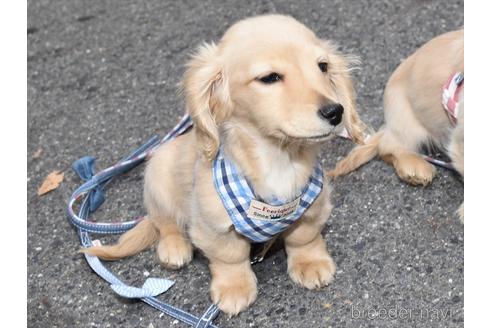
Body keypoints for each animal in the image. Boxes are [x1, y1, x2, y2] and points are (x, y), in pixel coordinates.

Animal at [83, 15, 366, 316]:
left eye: (322, 66)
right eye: (269, 77)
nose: (335, 112)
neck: (279, 158)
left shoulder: (314, 207)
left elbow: (304, 237)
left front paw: (310, 263)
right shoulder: (213, 227)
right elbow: (230, 257)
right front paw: (235, 288)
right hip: (158, 178)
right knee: (165, 222)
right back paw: (174, 247)